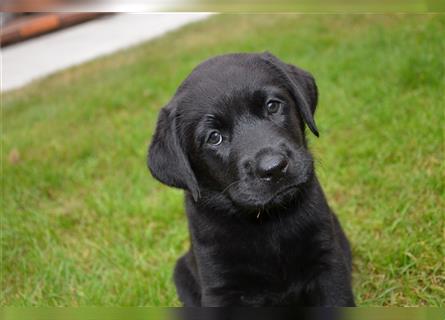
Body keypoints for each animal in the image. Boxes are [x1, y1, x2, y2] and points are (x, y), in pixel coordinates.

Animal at [147, 51, 356, 306]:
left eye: (272, 106)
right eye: (214, 137)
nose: (274, 168)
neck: (268, 221)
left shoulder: (328, 262)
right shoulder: (220, 285)